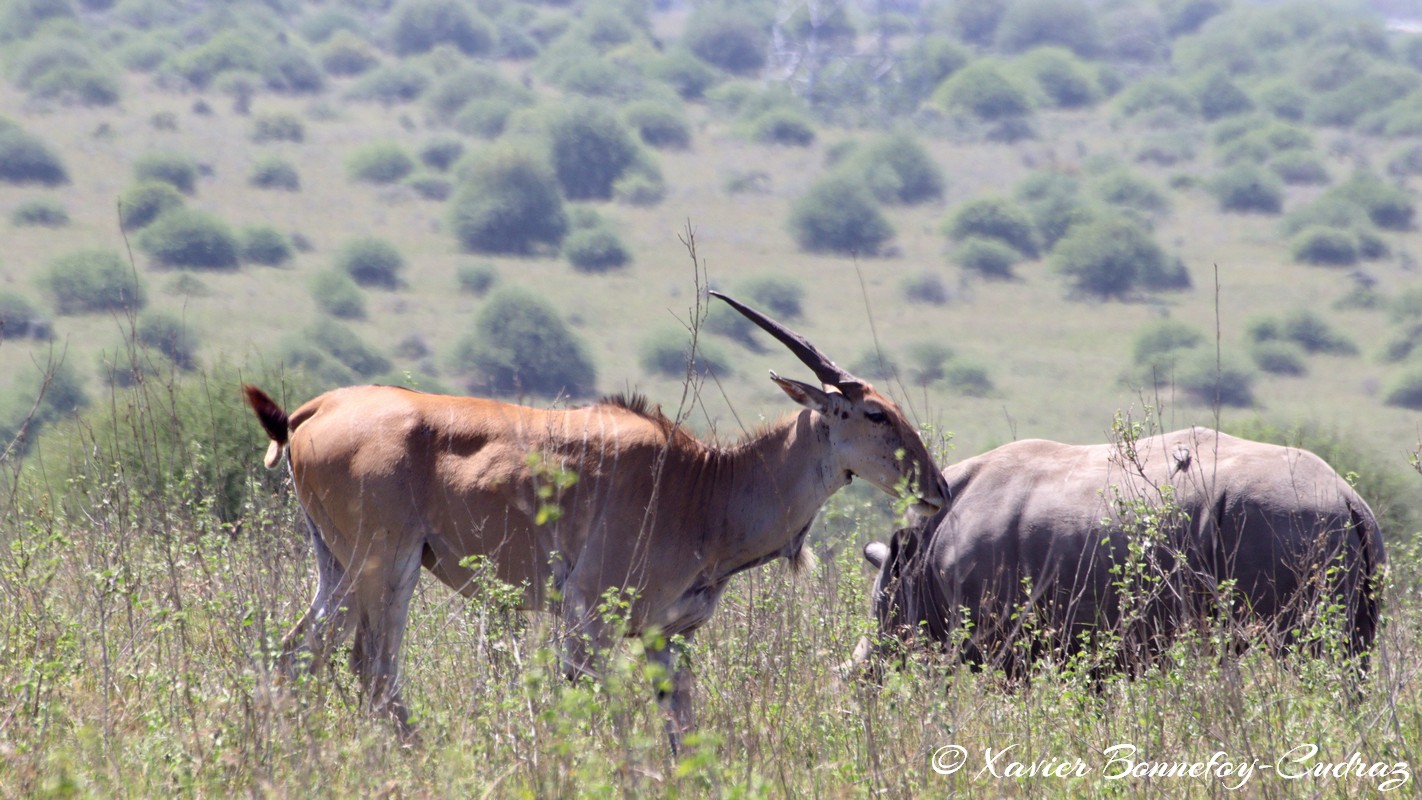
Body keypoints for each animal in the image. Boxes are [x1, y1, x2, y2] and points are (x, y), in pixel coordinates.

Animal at [248, 292, 949, 750]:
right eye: (876, 415)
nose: (939, 489)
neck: (706, 487)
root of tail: (311, 411)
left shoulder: (668, 637)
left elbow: (679, 727)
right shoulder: (588, 617)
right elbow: (597, 711)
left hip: (338, 567)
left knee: (296, 654)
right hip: (387, 566)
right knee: (373, 668)